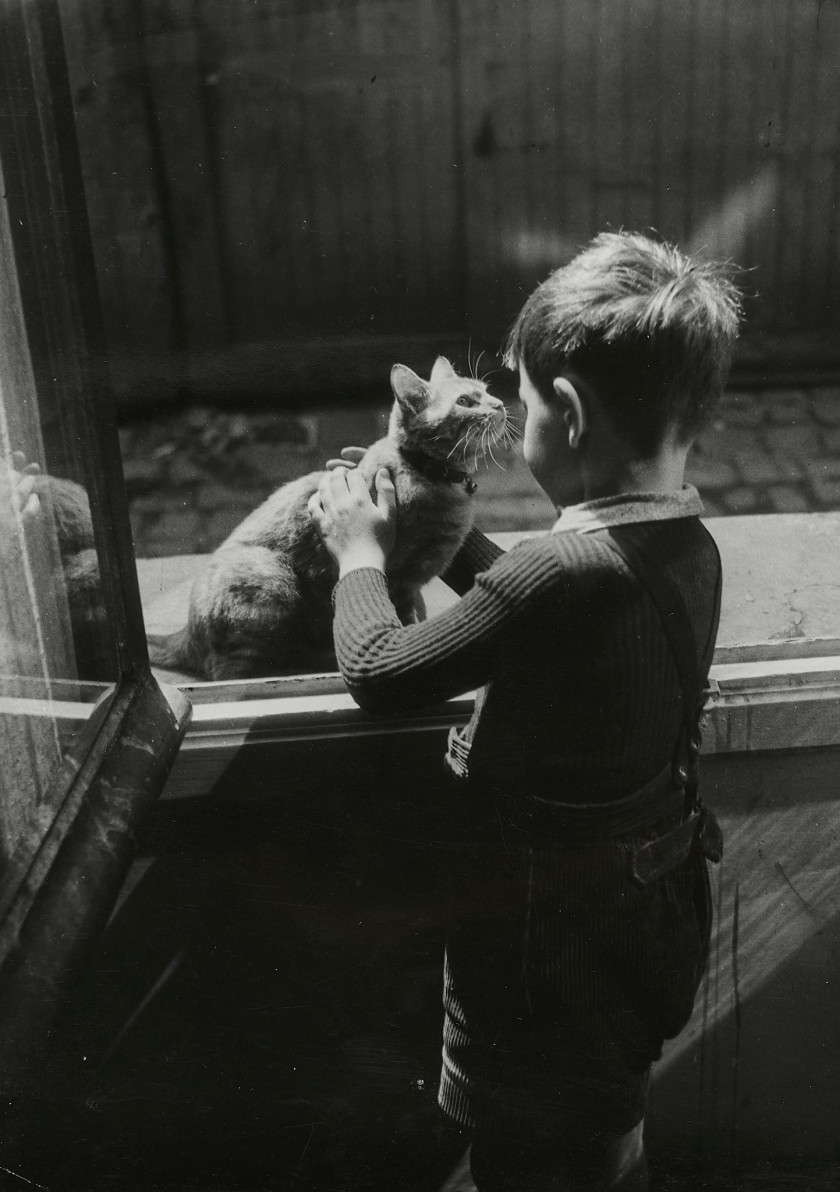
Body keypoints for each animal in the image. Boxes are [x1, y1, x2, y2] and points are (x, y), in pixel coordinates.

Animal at [147, 355, 507, 681]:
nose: (501, 404)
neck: (431, 476)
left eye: (486, 391)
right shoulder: (400, 582)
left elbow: (418, 610)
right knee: (229, 672)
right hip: (269, 581)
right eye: (465, 401)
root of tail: (185, 633)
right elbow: (404, 623)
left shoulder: (413, 587)